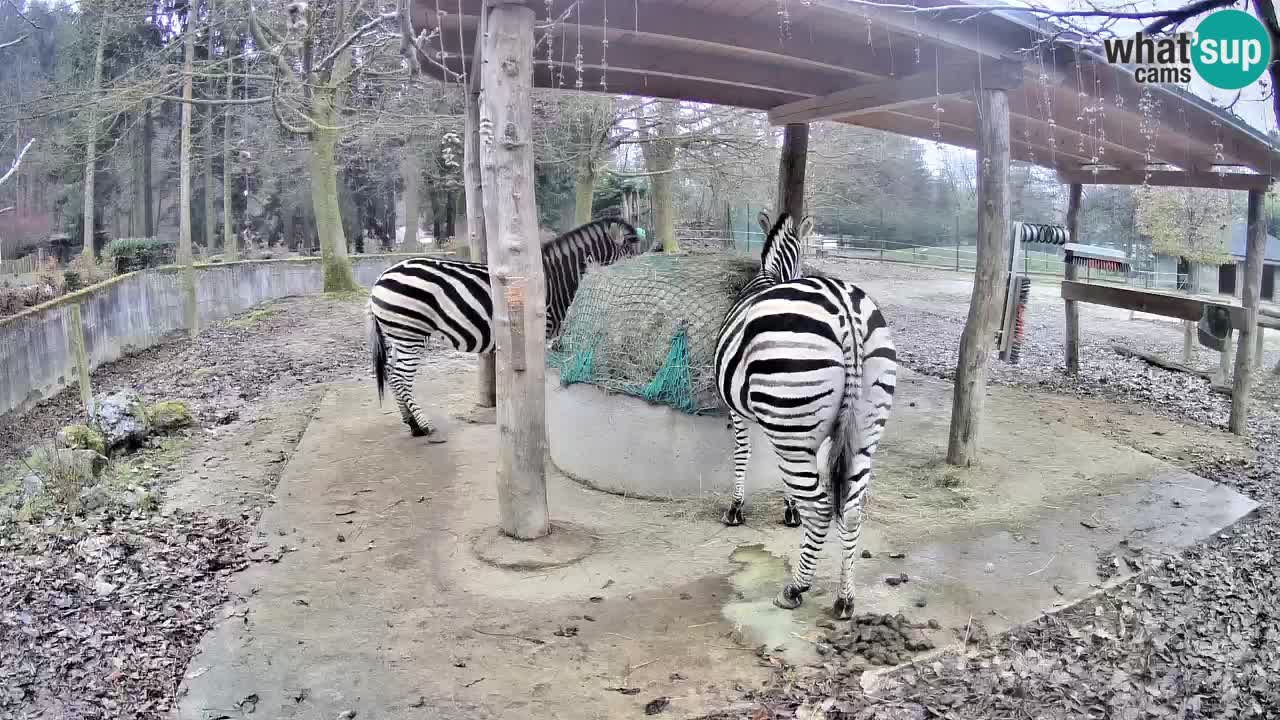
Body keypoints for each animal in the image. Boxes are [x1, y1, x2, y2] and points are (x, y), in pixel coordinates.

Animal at [366, 215, 655, 435]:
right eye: (633, 250)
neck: (556, 279)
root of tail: (380, 278)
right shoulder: (542, 332)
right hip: (410, 332)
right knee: (401, 377)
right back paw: (422, 425)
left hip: (398, 335)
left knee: (391, 373)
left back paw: (411, 424)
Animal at [711, 207, 901, 617]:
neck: (775, 274)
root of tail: (847, 312)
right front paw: (789, 509)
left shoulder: (741, 411)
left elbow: (742, 454)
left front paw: (736, 508)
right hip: (864, 428)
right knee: (852, 507)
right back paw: (845, 597)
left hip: (793, 420)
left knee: (822, 509)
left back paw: (795, 588)